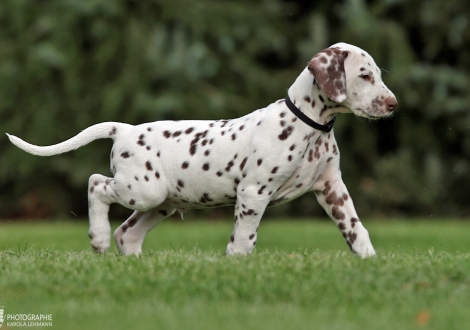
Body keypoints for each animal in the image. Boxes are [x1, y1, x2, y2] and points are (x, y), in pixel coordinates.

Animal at [7, 42, 396, 258]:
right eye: (364, 76)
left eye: (376, 74)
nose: (393, 104)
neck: (309, 125)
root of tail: (125, 130)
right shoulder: (253, 193)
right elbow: (244, 238)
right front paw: (237, 262)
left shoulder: (333, 189)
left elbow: (355, 228)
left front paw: (369, 261)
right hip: (142, 190)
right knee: (95, 184)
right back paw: (98, 238)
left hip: (161, 202)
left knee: (127, 234)